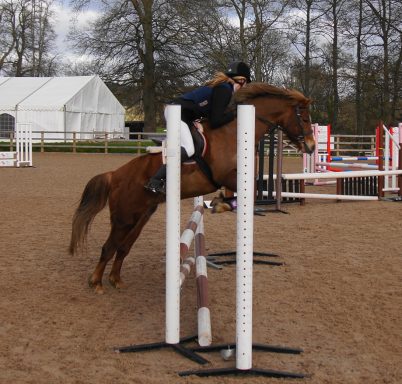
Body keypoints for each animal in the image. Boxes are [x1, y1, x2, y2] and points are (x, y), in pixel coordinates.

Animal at [69, 82, 316, 292]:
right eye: (304, 118)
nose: (312, 147)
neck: (233, 132)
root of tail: (114, 175)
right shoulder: (225, 176)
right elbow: (250, 193)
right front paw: (220, 204)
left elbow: (241, 195)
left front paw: (219, 203)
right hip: (124, 217)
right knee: (109, 247)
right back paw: (96, 282)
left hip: (141, 215)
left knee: (122, 247)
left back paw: (115, 280)